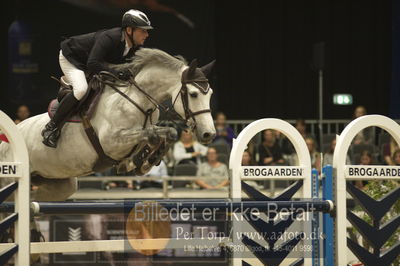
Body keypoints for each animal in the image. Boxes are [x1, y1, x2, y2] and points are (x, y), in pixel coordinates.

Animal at [0, 48, 216, 202]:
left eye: (211, 94)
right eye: (194, 94)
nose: (209, 134)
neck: (137, 99)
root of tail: (6, 141)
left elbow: (165, 133)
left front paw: (143, 161)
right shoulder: (113, 140)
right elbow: (156, 133)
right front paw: (142, 160)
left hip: (59, 183)